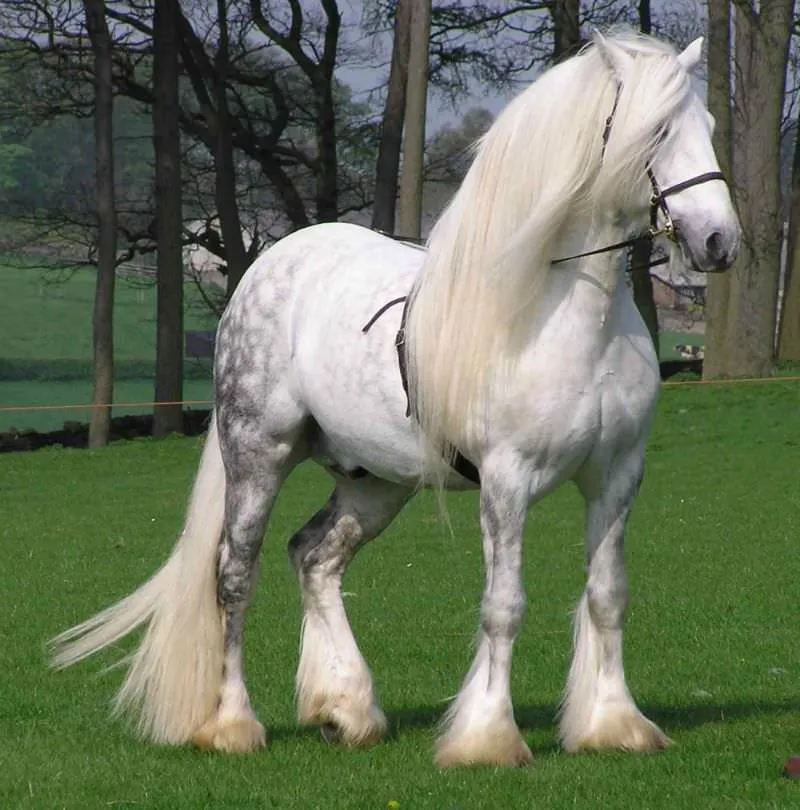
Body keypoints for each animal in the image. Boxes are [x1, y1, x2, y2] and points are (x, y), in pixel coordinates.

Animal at [51, 30, 740, 768]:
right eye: (657, 131)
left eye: (708, 126)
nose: (720, 241)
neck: (564, 313)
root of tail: (269, 266)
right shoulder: (508, 480)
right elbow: (503, 606)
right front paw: (488, 737)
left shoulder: (616, 475)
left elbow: (608, 597)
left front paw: (614, 724)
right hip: (258, 454)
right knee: (235, 575)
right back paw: (234, 724)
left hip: (375, 481)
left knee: (315, 556)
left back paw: (346, 709)